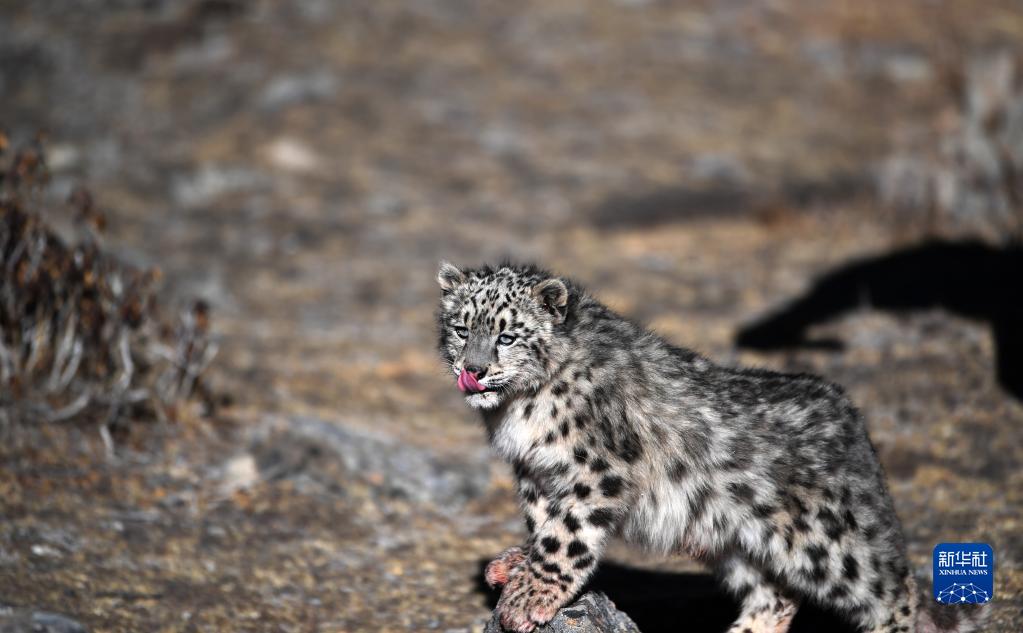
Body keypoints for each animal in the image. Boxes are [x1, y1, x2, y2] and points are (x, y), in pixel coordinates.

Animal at [435, 261, 986, 633]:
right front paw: (517, 565)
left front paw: (530, 595)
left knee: (895, 592)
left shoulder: (596, 470)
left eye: (507, 336)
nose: (473, 370)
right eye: (462, 329)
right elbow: (542, 523)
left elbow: (565, 535)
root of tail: (854, 420)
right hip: (737, 543)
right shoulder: (535, 473)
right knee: (775, 597)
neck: (518, 410)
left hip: (828, 544)